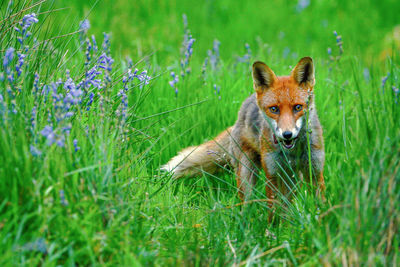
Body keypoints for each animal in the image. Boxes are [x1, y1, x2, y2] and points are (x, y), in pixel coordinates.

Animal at [162, 57, 324, 205]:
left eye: (298, 107)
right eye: (274, 109)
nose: (287, 135)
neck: (293, 152)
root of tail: (238, 118)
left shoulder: (315, 171)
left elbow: (318, 205)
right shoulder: (273, 174)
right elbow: (275, 211)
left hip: (294, 178)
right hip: (247, 174)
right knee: (246, 204)